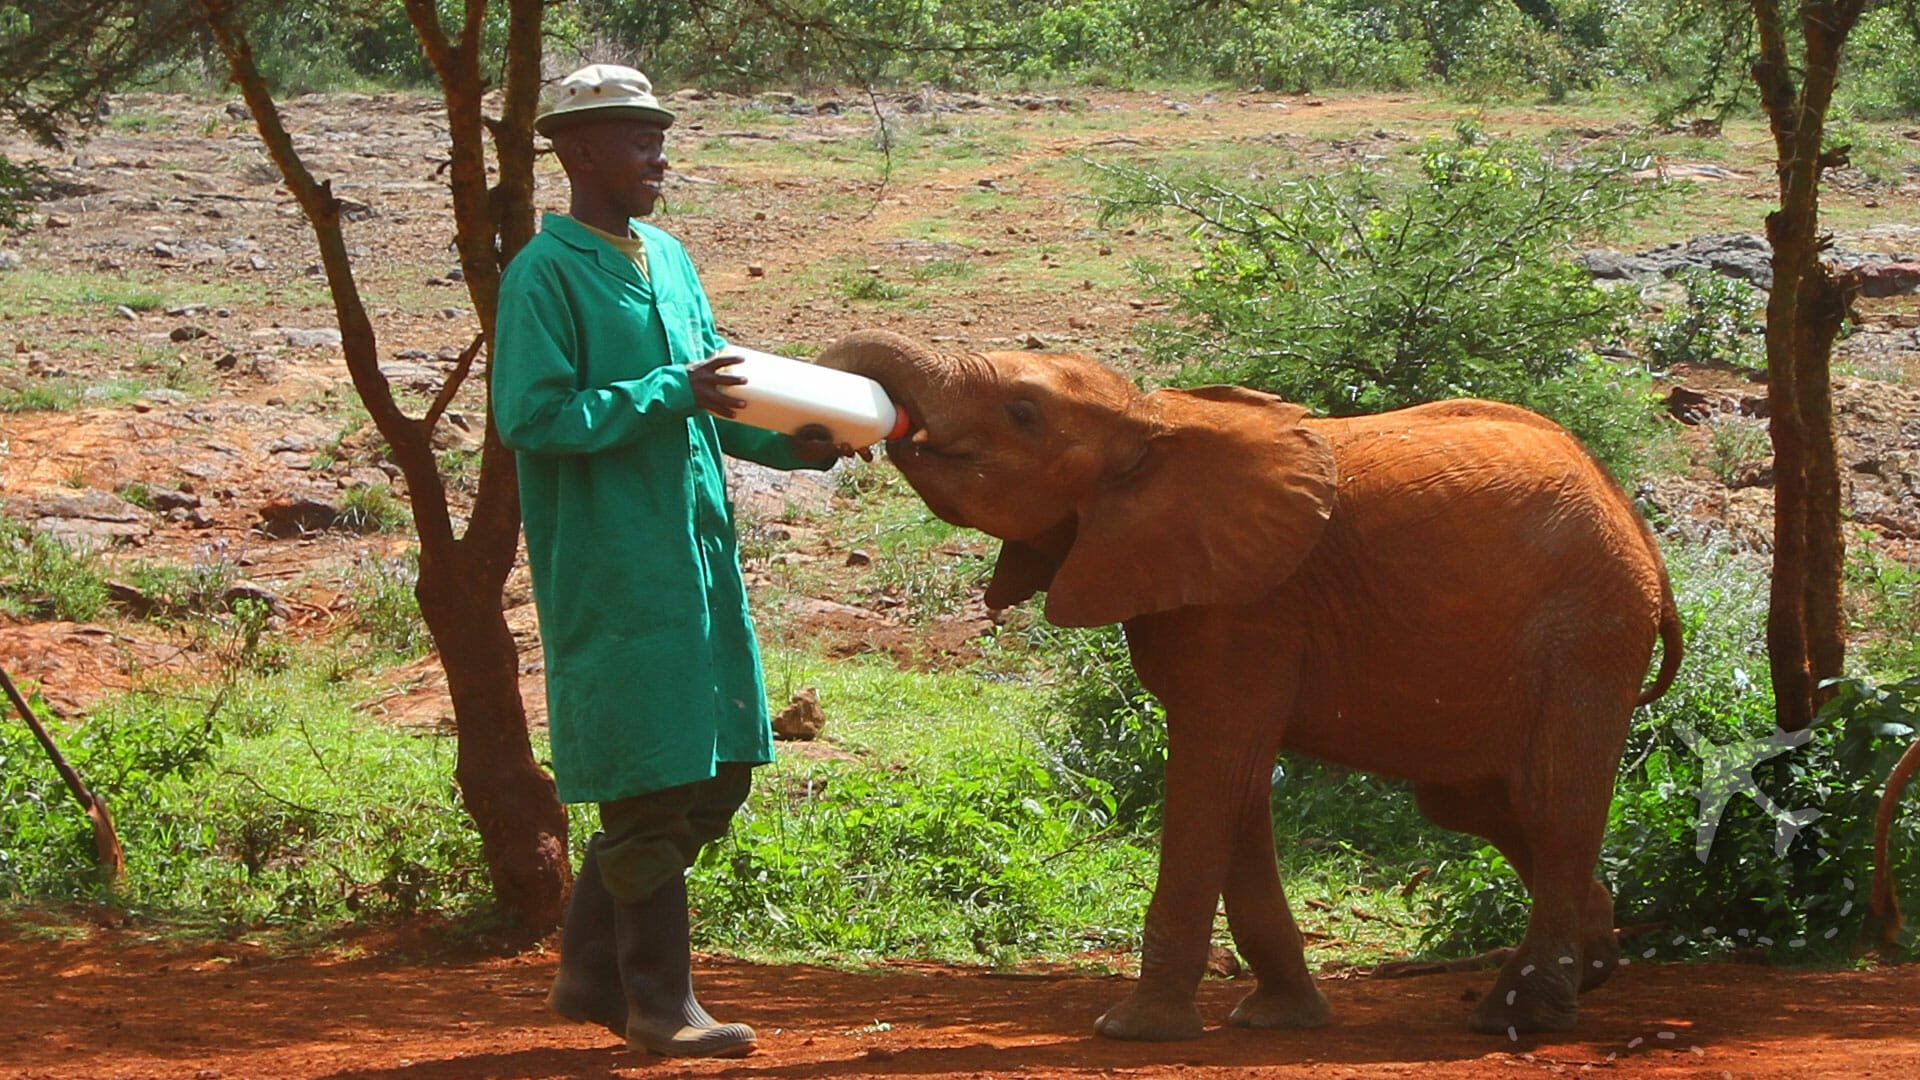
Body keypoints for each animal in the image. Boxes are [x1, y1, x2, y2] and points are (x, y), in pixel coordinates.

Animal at [817, 326, 1674, 1037]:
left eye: (1023, 412)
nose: (851, 432)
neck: (1153, 420)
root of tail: (1640, 532)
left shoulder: (1246, 607)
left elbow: (1212, 771)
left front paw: (1134, 1031)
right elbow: (1240, 790)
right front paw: (1279, 1020)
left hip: (1586, 625)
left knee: (1553, 800)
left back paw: (1522, 1015)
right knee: (1476, 801)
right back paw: (1591, 965)